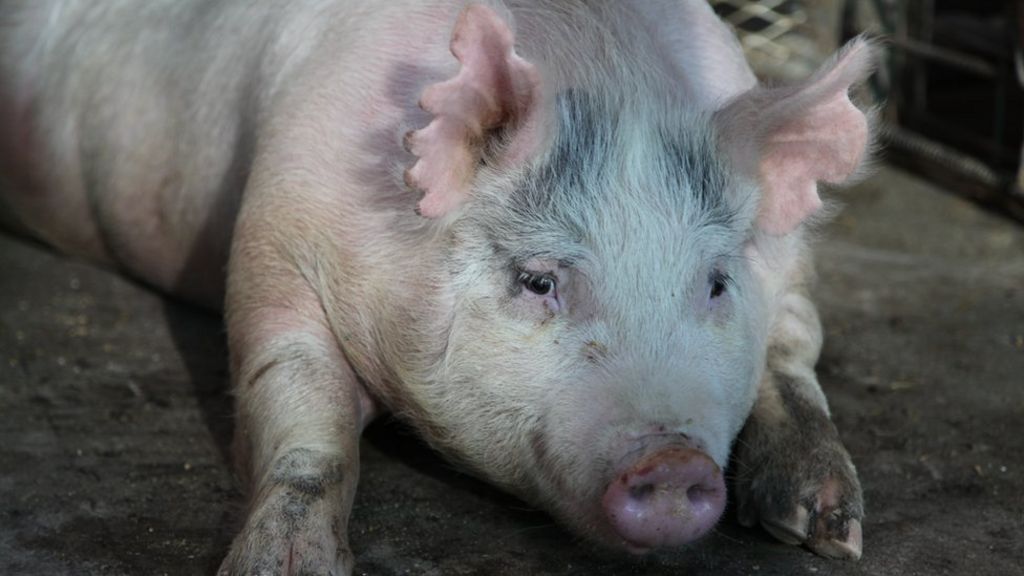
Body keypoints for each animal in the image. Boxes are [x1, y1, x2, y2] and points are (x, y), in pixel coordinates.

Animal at [0, 1, 874, 574]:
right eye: (538, 280)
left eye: (717, 283)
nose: (671, 462)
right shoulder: (276, 233)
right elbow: (300, 405)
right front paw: (283, 567)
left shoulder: (792, 274)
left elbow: (794, 353)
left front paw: (831, 530)